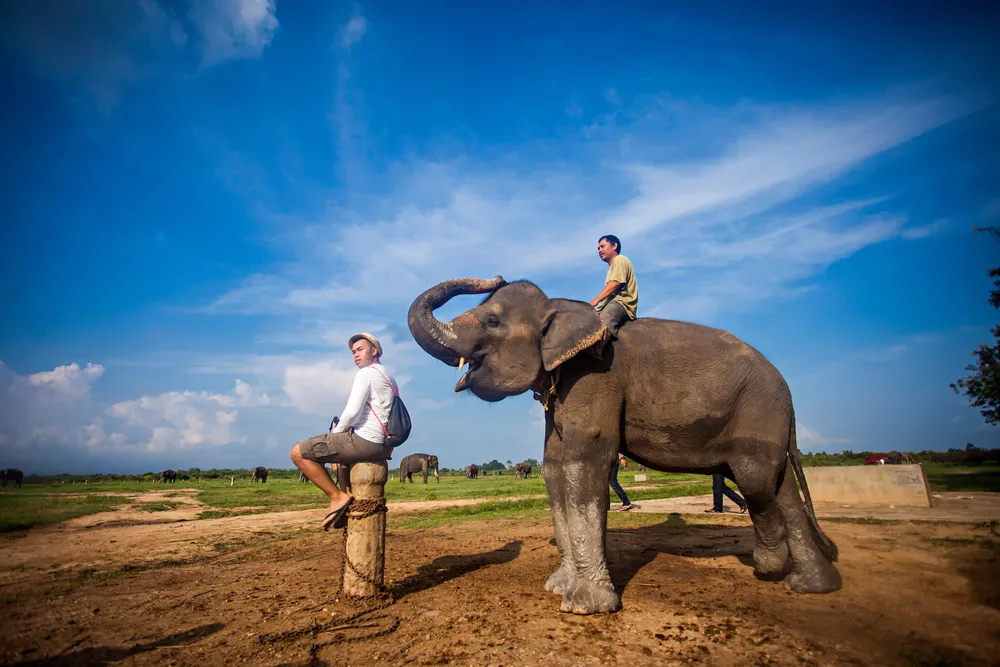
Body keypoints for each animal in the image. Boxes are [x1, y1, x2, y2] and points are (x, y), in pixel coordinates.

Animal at [407, 276, 842, 614]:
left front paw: (584, 607)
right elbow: (554, 467)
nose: (495, 275)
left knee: (757, 480)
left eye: (493, 320)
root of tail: (788, 394)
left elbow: (582, 462)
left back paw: (770, 565)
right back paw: (811, 586)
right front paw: (557, 588)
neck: (562, 307)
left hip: (757, 411)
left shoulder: (596, 376)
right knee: (782, 487)